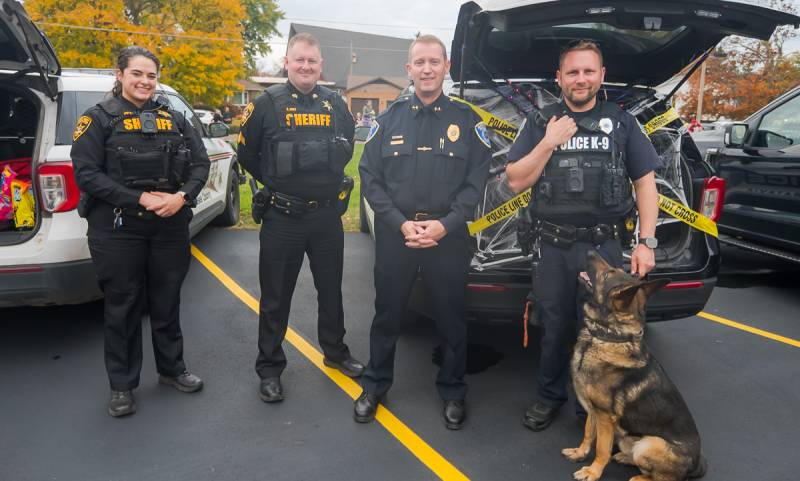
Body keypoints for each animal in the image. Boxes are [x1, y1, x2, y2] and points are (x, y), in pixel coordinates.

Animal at [564, 251, 708, 480]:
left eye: (607, 274)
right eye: (612, 270)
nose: (590, 251)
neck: (607, 336)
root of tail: (696, 464)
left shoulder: (605, 417)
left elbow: (602, 449)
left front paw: (593, 471)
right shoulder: (594, 412)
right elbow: (587, 434)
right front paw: (580, 453)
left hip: (647, 445)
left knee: (666, 477)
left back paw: (638, 476)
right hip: (626, 438)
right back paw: (624, 457)